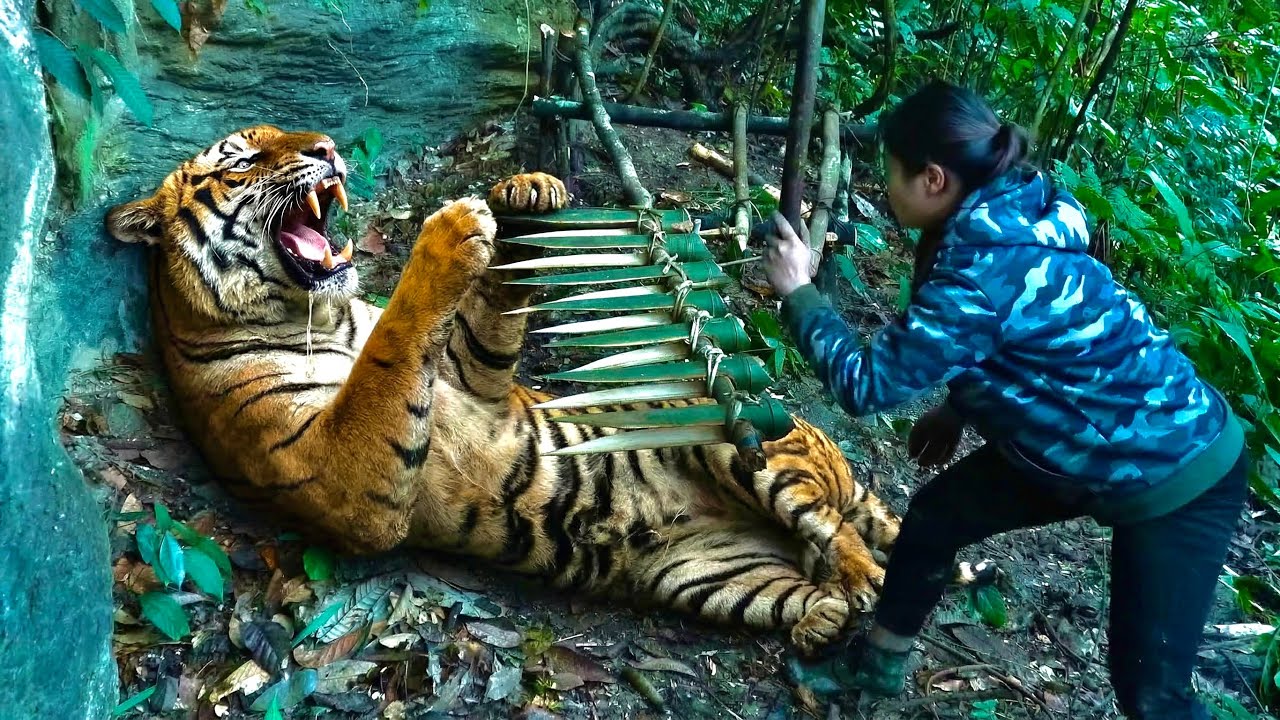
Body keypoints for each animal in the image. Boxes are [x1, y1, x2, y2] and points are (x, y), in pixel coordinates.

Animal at [105, 125, 908, 654]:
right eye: (242, 159)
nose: (328, 148)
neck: (323, 316)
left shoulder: (475, 380)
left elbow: (485, 313)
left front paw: (526, 192)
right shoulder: (337, 473)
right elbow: (389, 354)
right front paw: (450, 231)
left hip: (748, 446)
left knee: (838, 528)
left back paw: (849, 585)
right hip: (709, 572)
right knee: (835, 564)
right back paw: (832, 608)